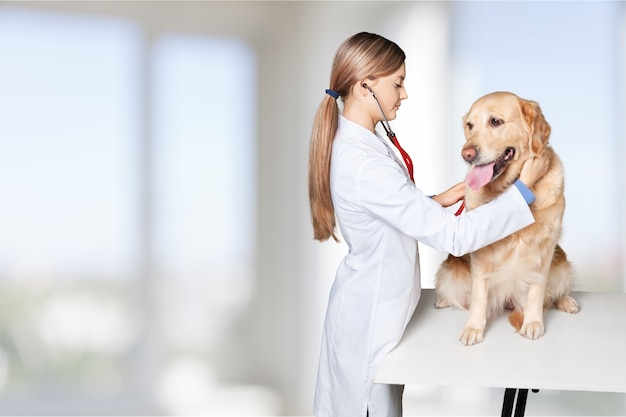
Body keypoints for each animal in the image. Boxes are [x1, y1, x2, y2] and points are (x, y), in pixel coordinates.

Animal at [434, 91, 576, 344]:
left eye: (495, 121)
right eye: (470, 125)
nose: (466, 154)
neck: (510, 186)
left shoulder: (545, 247)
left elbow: (538, 288)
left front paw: (532, 322)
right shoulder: (480, 251)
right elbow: (479, 293)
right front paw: (473, 327)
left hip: (562, 264)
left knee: (556, 291)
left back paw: (567, 301)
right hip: (451, 270)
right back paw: (442, 300)